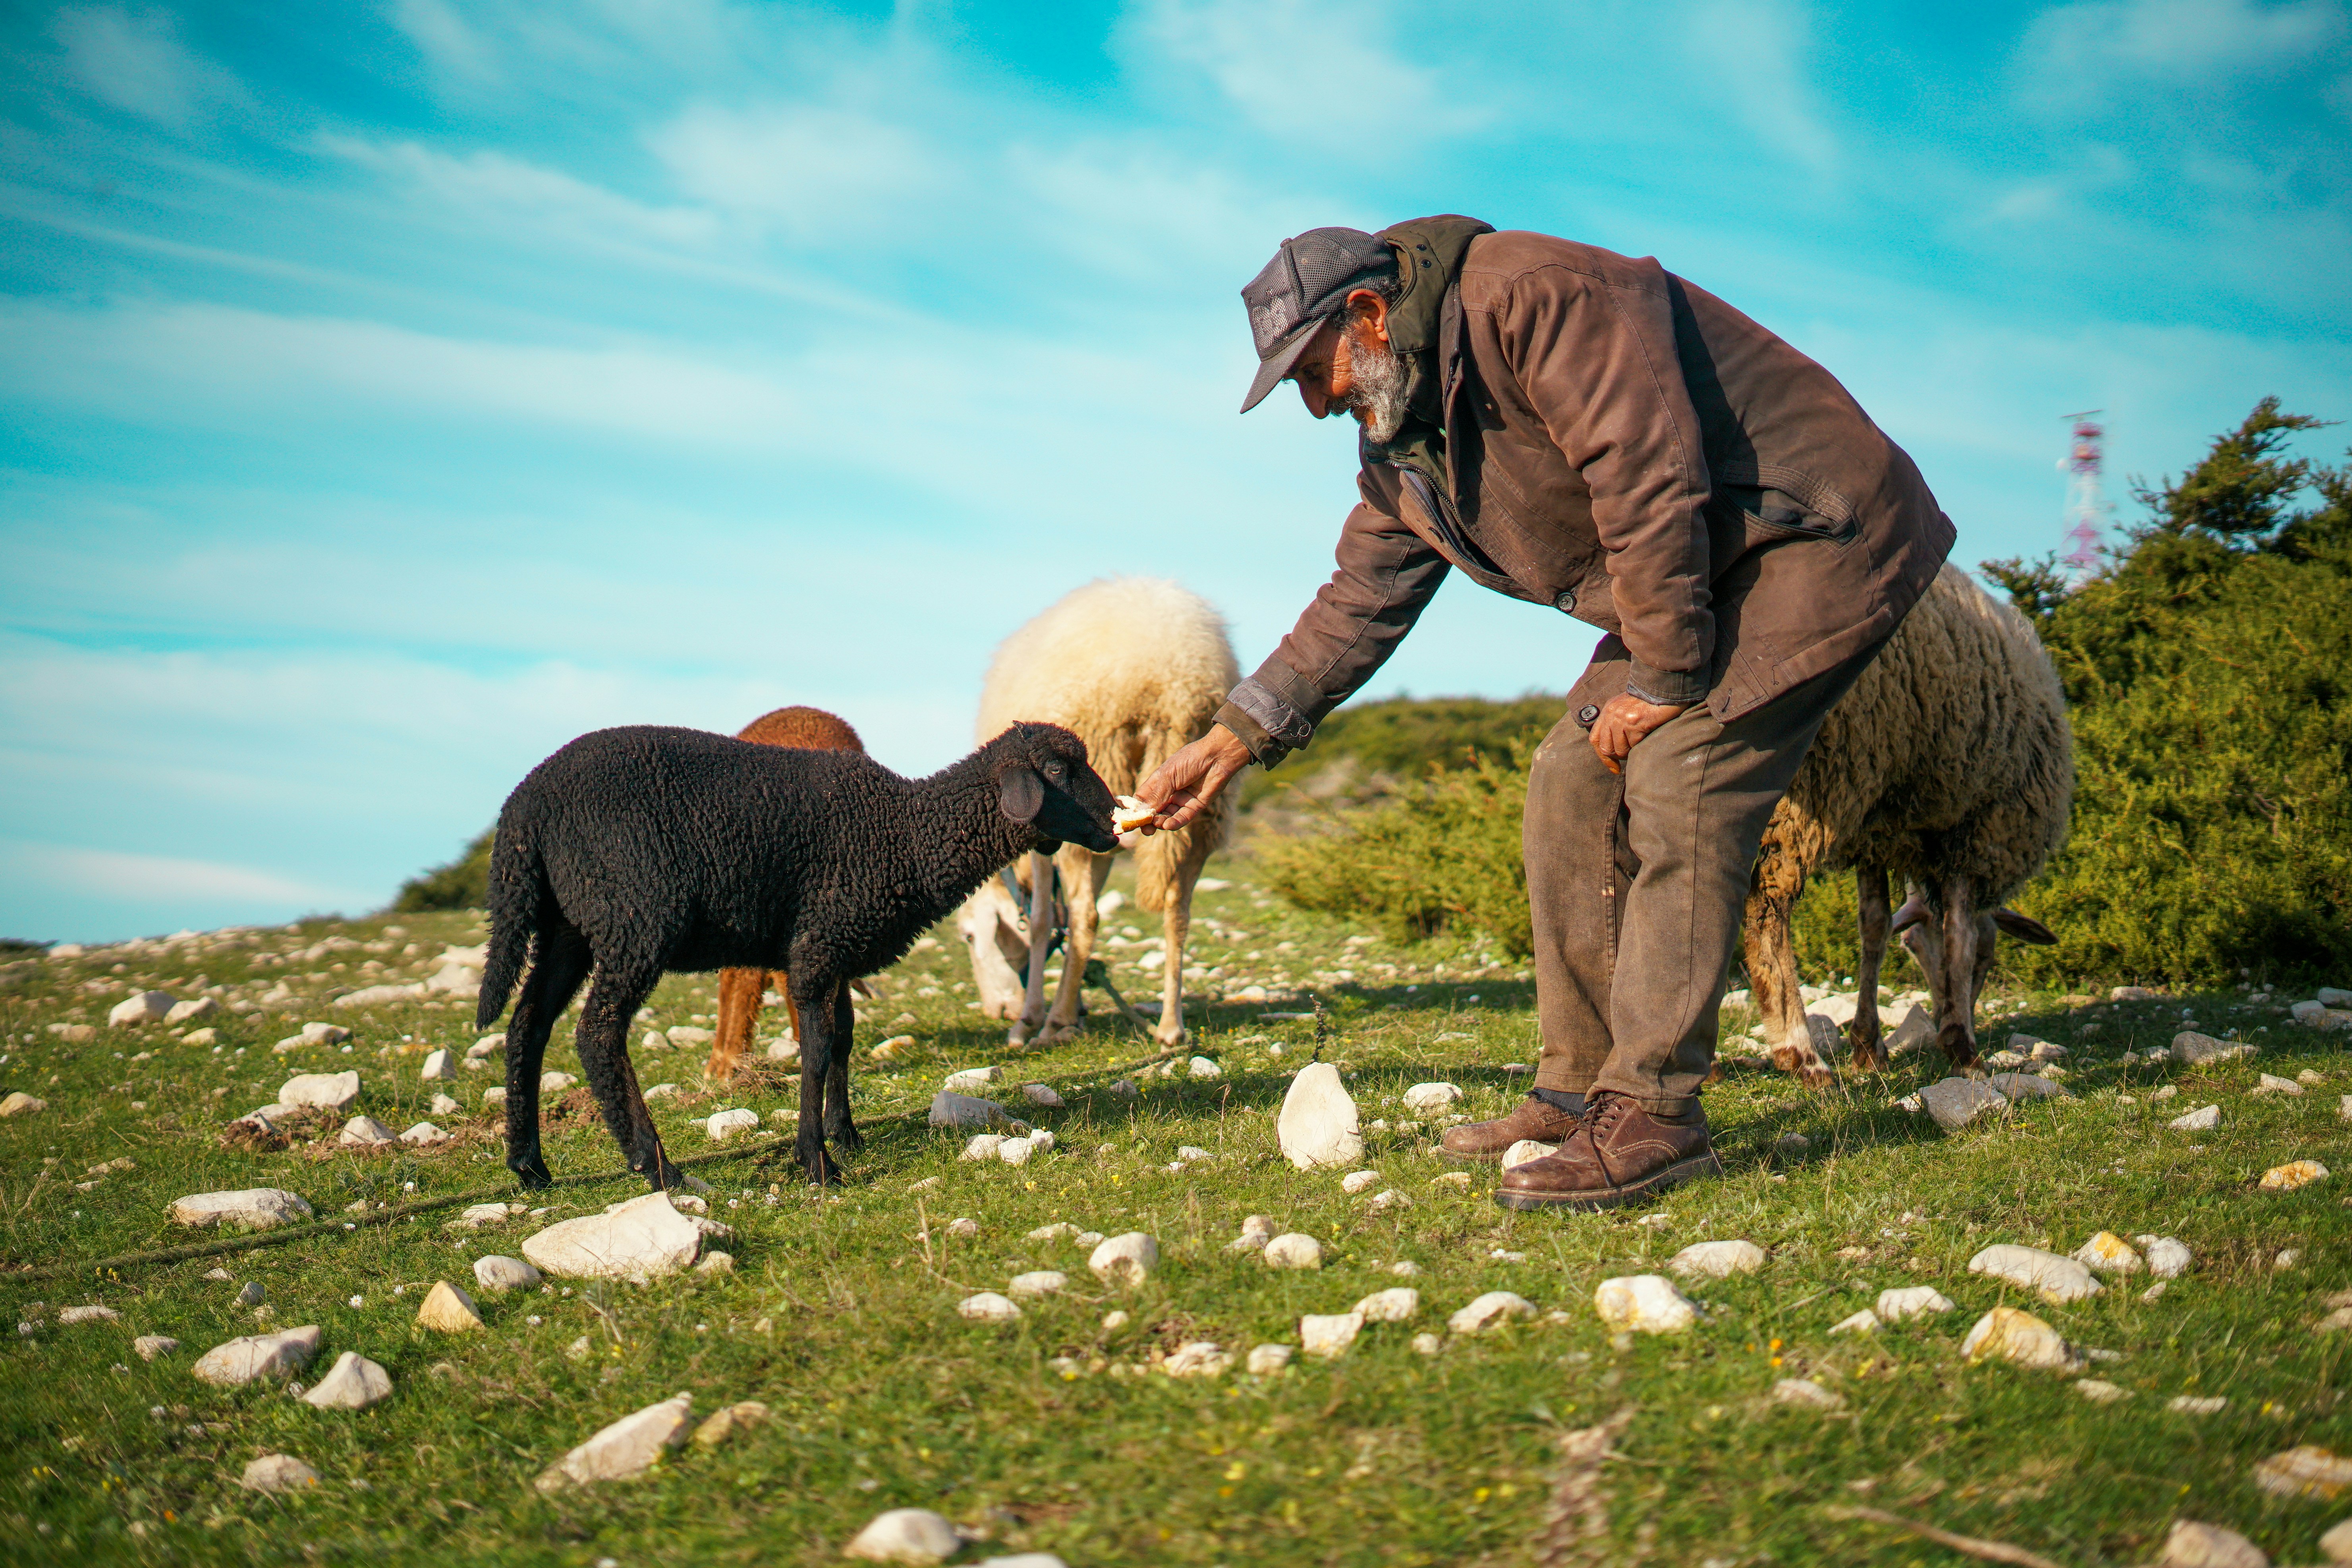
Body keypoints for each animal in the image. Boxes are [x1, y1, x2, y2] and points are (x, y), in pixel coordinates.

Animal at [967, 577, 1239, 1047]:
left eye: (968, 938)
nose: (997, 1011)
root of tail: (1171, 680)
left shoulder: (1041, 836)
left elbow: (1042, 921)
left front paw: (1032, 1019)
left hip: (1093, 779)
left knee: (1088, 918)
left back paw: (1053, 1023)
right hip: (1205, 809)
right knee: (1178, 911)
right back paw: (1170, 1027)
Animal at [1740, 563, 2074, 1084]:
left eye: (1913, 950)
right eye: (1988, 959)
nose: (1946, 1012)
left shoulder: (1876, 831)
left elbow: (1874, 927)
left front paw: (1869, 1045)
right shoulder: (1973, 827)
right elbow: (1961, 934)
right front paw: (1963, 1047)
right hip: (1805, 778)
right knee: (1766, 903)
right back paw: (1802, 1053)